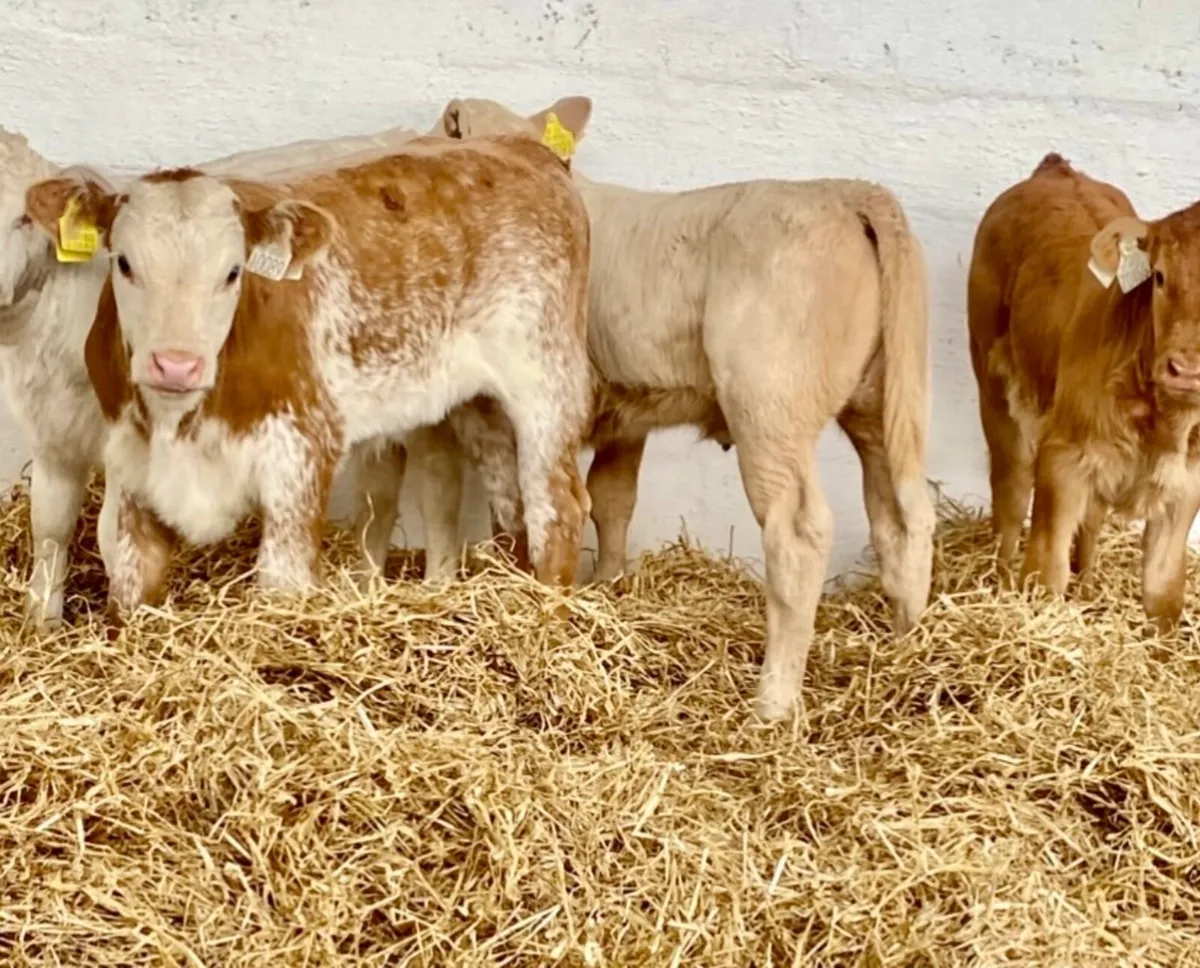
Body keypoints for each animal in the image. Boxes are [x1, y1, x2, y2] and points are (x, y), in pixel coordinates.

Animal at [21, 131, 592, 623]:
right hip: (472, 400)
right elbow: (131, 583)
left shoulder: (300, 451)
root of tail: (522, 147)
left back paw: (547, 619)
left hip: (547, 379)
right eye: (123, 263)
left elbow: (282, 582)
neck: (182, 425)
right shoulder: (132, 464)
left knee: (556, 507)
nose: (177, 364)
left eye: (233, 272)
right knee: (507, 498)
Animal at [380, 95, 936, 722]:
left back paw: (772, 701)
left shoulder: (489, 408)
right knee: (903, 515)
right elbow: (612, 501)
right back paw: (906, 646)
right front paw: (607, 589)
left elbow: (488, 500)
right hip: (881, 403)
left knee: (799, 533)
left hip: (768, 403)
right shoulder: (627, 410)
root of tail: (849, 191)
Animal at [969, 151, 1200, 629]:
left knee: (1091, 521)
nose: (1185, 369)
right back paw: (999, 583)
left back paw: (1090, 587)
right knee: (1010, 491)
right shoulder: (1062, 458)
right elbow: (1046, 574)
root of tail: (1056, 170)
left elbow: (1164, 594)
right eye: (1160, 277)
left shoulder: (1187, 484)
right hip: (993, 386)